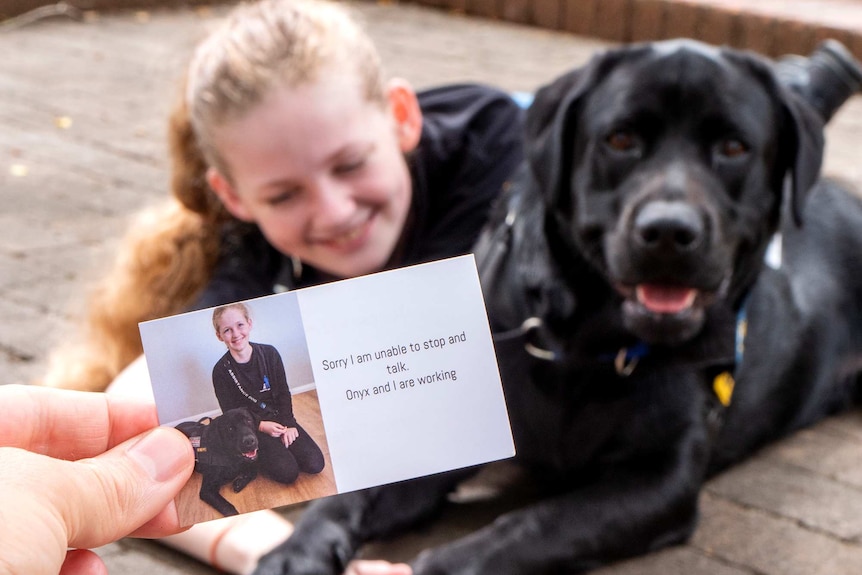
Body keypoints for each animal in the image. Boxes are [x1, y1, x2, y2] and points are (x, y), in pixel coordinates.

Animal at [253, 39, 862, 572]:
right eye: (620, 139)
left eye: (734, 148)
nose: (668, 231)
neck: (584, 346)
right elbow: (352, 495)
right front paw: (293, 552)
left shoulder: (658, 479)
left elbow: (532, 525)